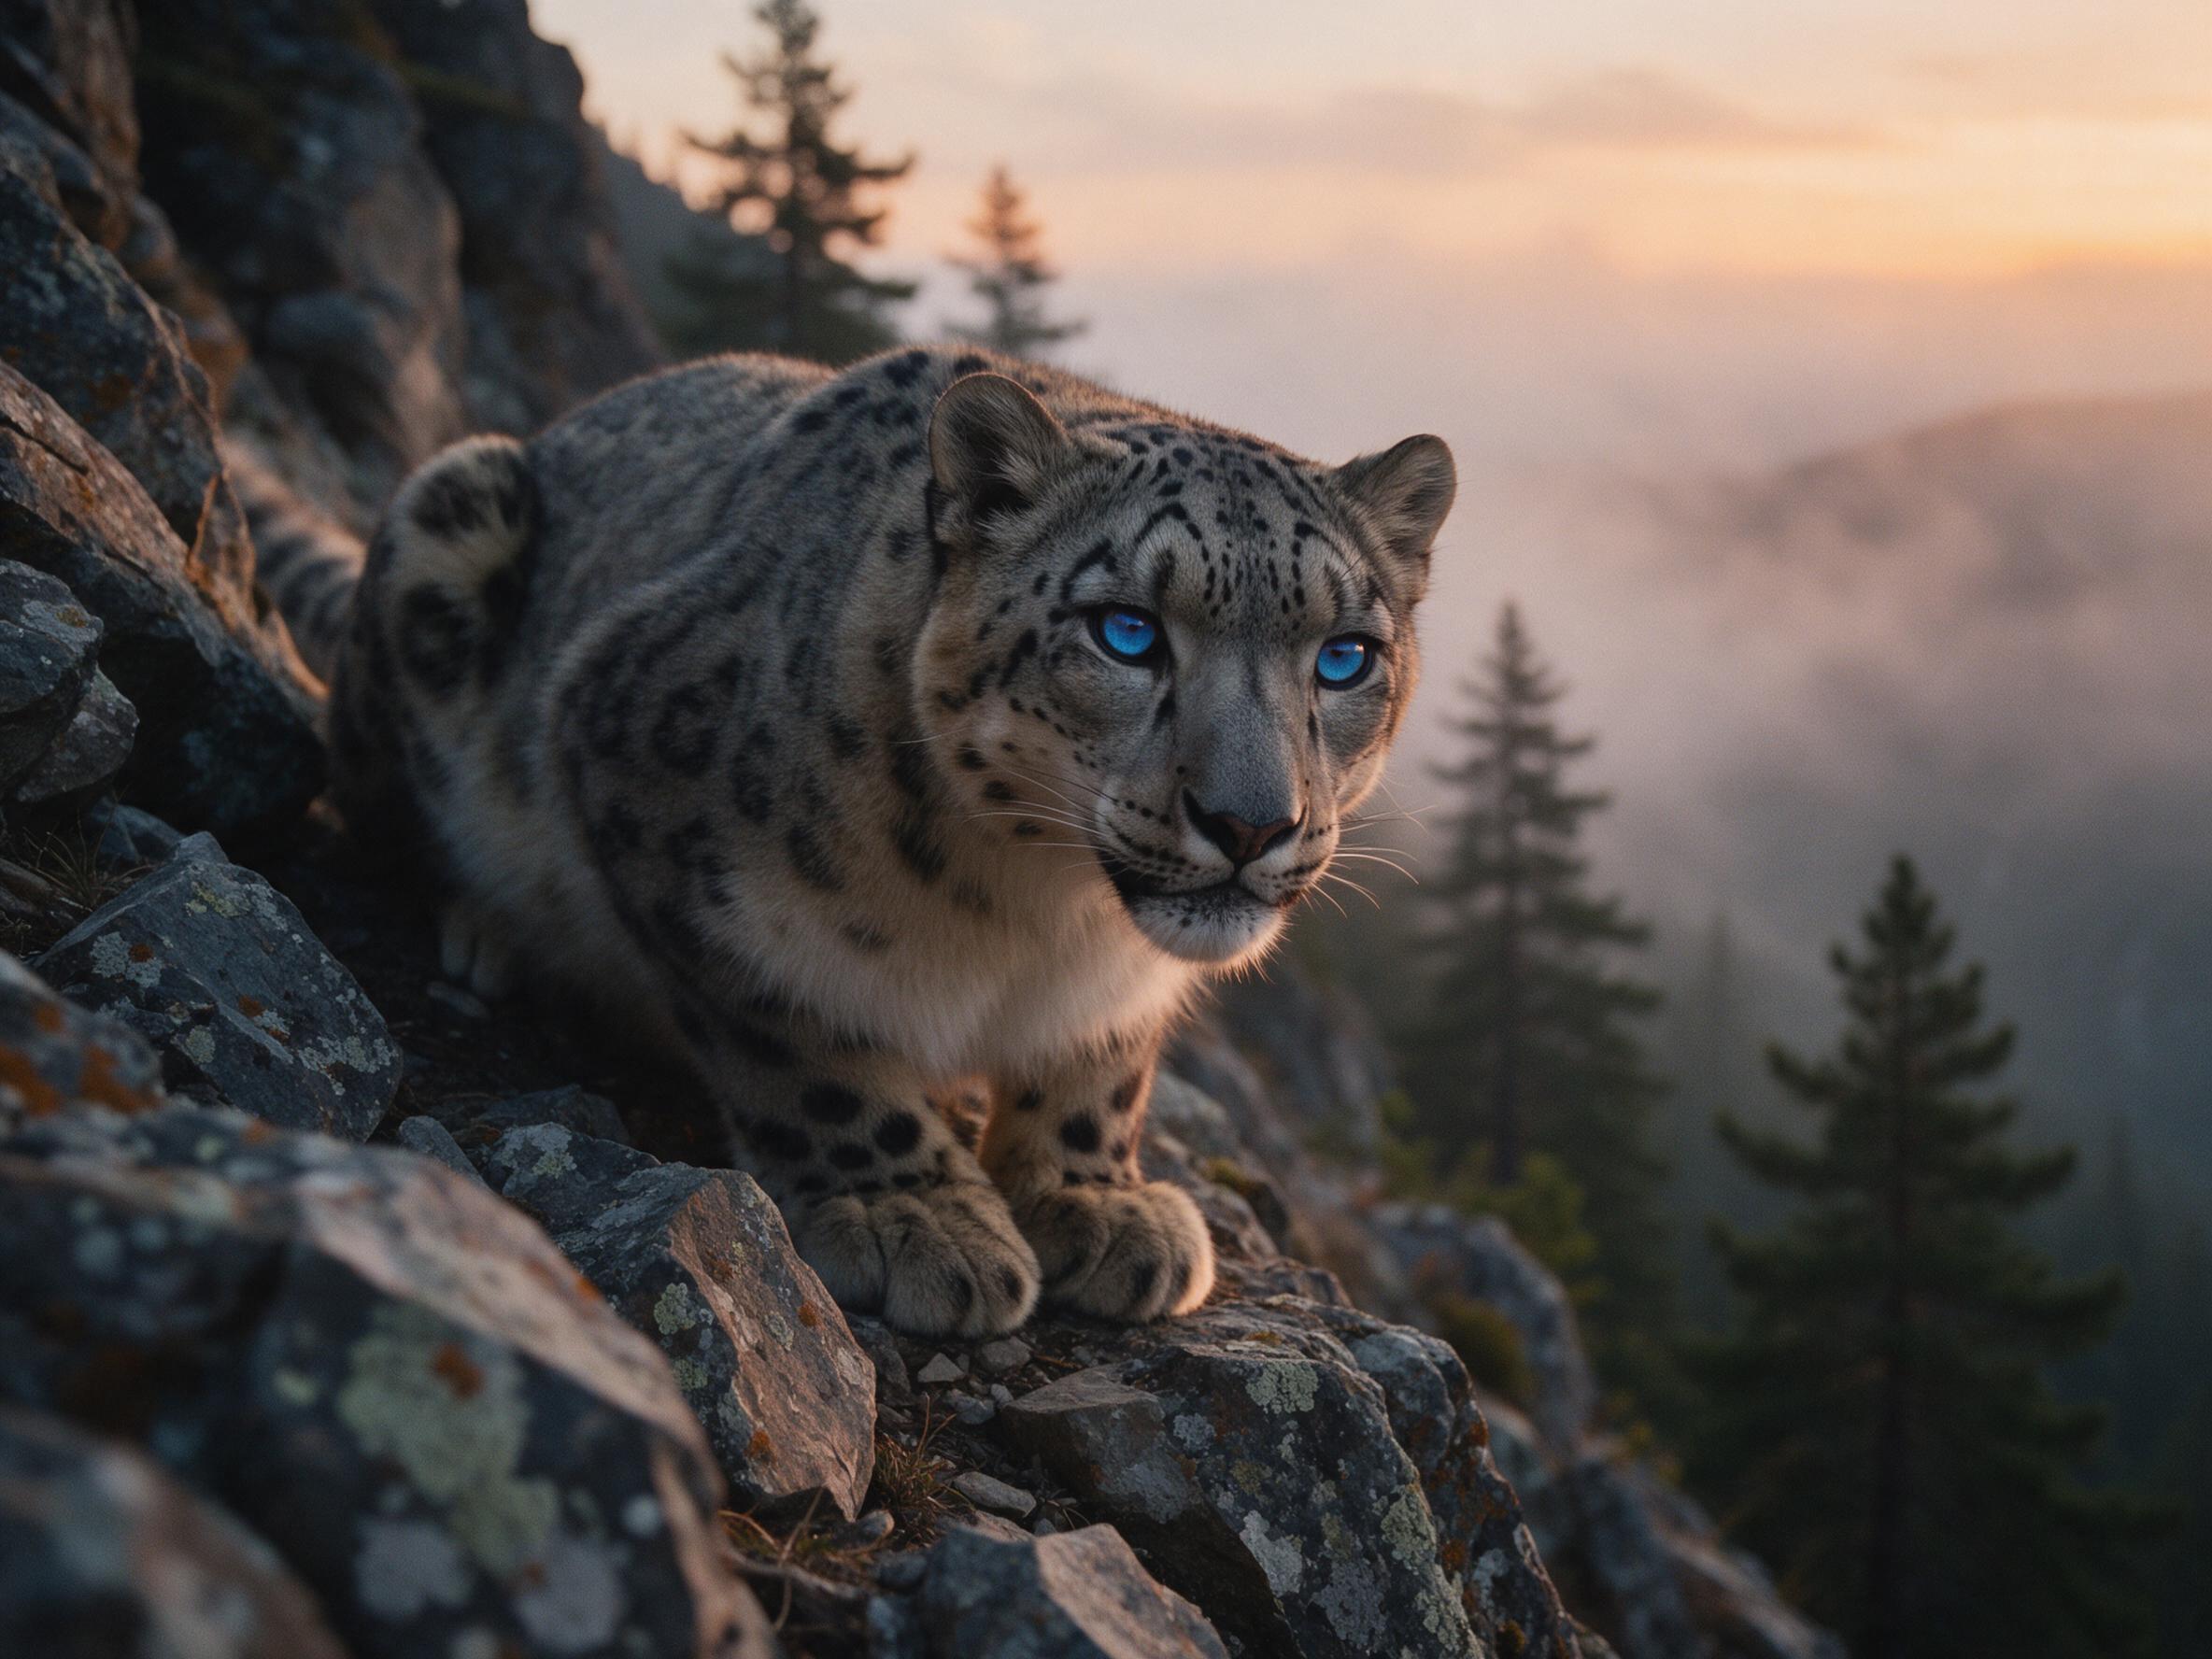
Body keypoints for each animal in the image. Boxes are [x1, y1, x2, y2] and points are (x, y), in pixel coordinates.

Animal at [271, 345, 1456, 1338]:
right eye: (1125, 630)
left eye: (1345, 655)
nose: (1254, 822)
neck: (1041, 911)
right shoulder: (649, 796)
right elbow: (805, 1042)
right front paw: (910, 1216)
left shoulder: (1120, 985)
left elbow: (1103, 1064)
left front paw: (1093, 1197)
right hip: (451, 521)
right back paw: (493, 933)